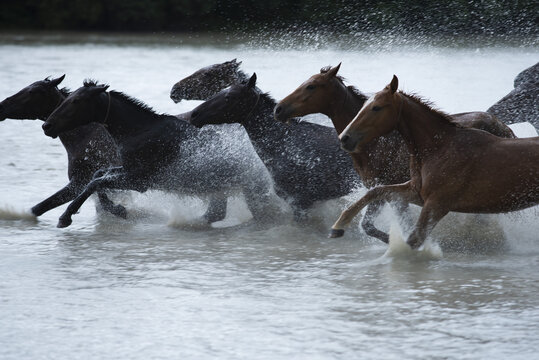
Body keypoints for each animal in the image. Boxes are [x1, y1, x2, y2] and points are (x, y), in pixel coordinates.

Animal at [41, 81, 274, 228]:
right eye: (68, 97)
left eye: (76, 101)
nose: (47, 125)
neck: (137, 131)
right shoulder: (126, 169)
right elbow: (97, 176)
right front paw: (117, 208)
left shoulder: (139, 180)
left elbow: (94, 183)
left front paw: (65, 217)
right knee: (215, 213)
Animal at [276, 65, 516, 245]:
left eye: (311, 85)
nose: (279, 109)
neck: (372, 145)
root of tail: (504, 128)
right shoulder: (391, 190)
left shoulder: (384, 186)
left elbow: (370, 225)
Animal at [336, 75, 536, 250]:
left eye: (376, 107)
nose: (345, 138)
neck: (438, 147)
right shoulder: (417, 192)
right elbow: (376, 192)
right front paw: (339, 225)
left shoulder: (437, 204)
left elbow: (412, 241)